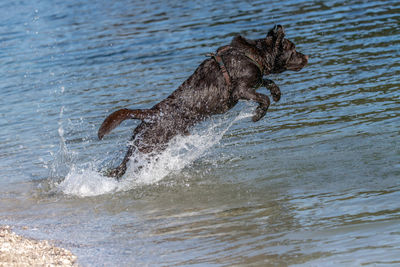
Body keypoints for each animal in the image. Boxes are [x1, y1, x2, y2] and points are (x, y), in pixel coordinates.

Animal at [97, 26, 310, 179]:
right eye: (293, 49)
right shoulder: (241, 90)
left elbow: (267, 81)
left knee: (124, 162)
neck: (252, 55)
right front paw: (258, 114)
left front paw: (276, 93)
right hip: (151, 146)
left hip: (140, 141)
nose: (307, 56)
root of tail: (151, 113)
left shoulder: (254, 83)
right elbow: (263, 97)